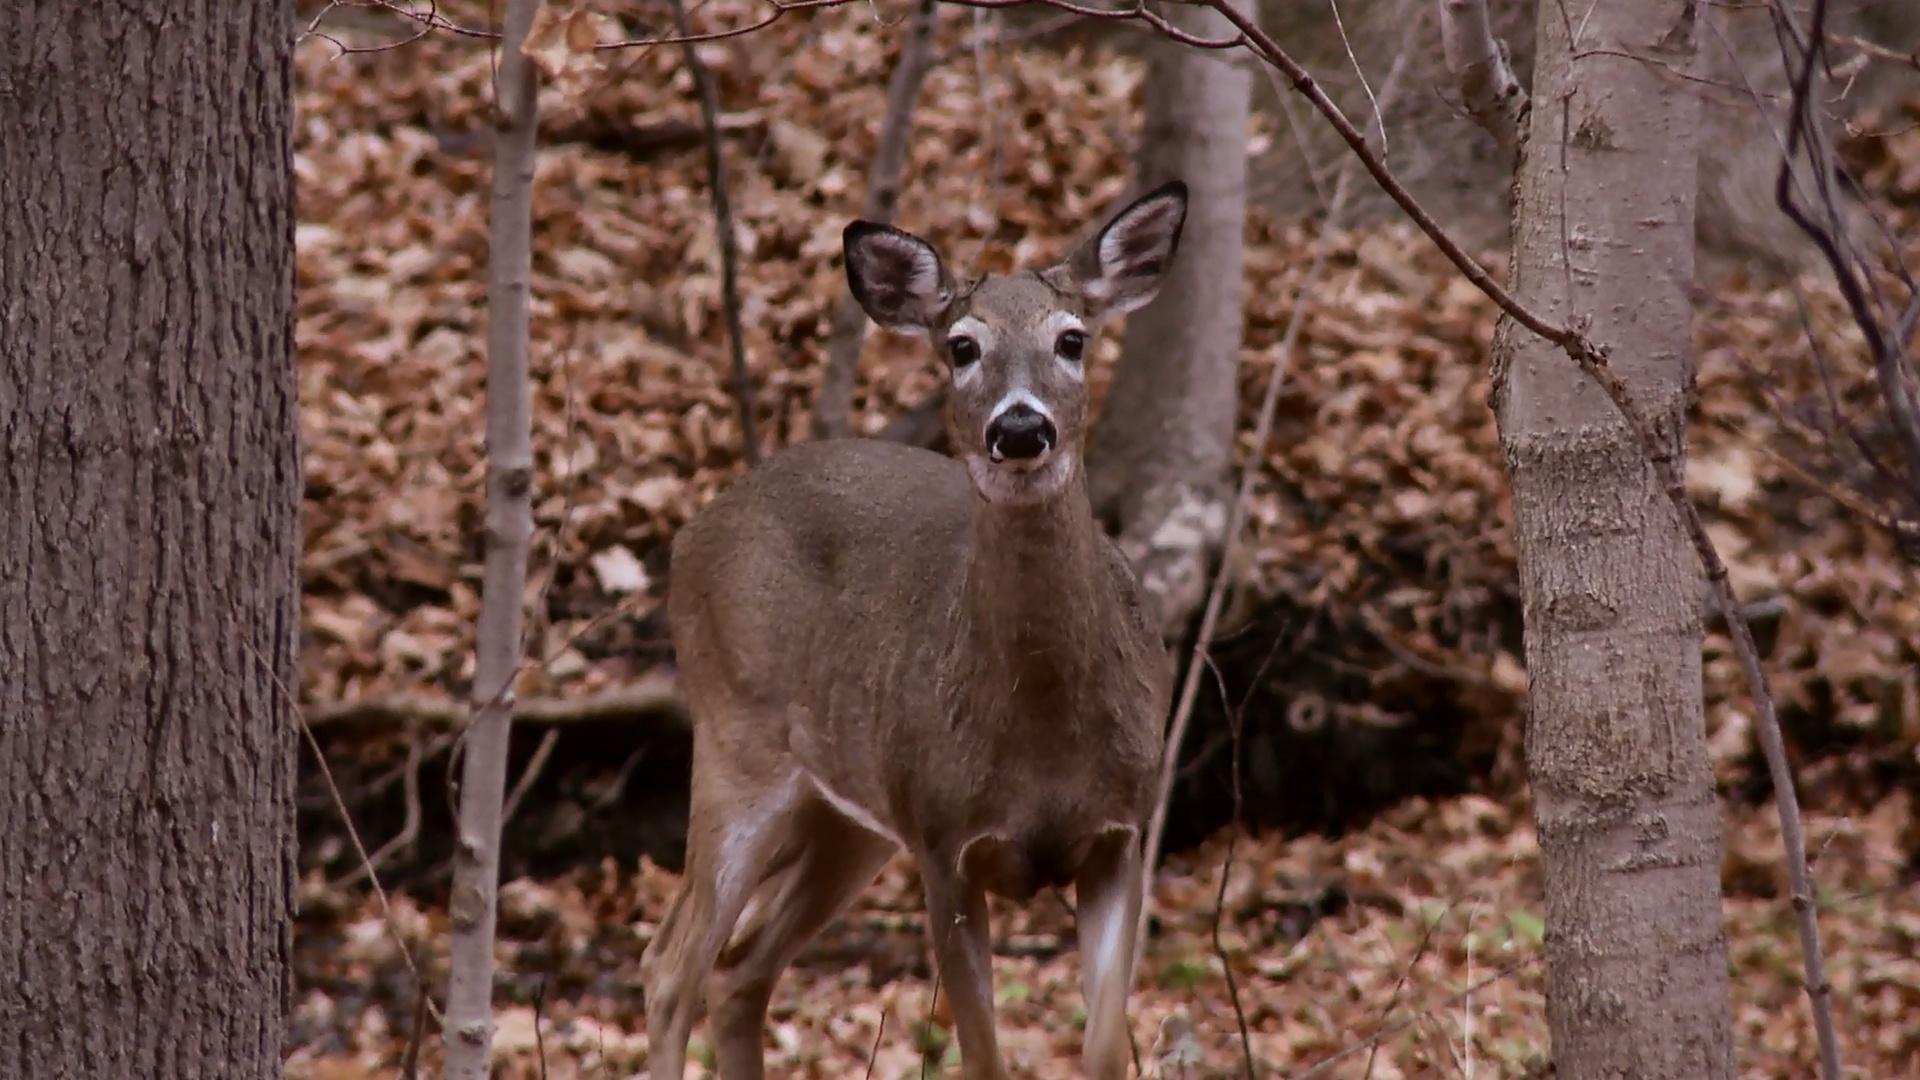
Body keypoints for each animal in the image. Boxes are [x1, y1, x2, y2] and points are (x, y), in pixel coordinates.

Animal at [641, 180, 1182, 1068]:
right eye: (961, 347)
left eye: (1072, 338)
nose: (1021, 428)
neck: (1043, 734)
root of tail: (692, 533)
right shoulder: (942, 843)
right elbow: (982, 1056)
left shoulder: (1122, 837)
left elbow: (1103, 1051)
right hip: (737, 745)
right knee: (671, 966)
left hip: (848, 810)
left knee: (739, 968)